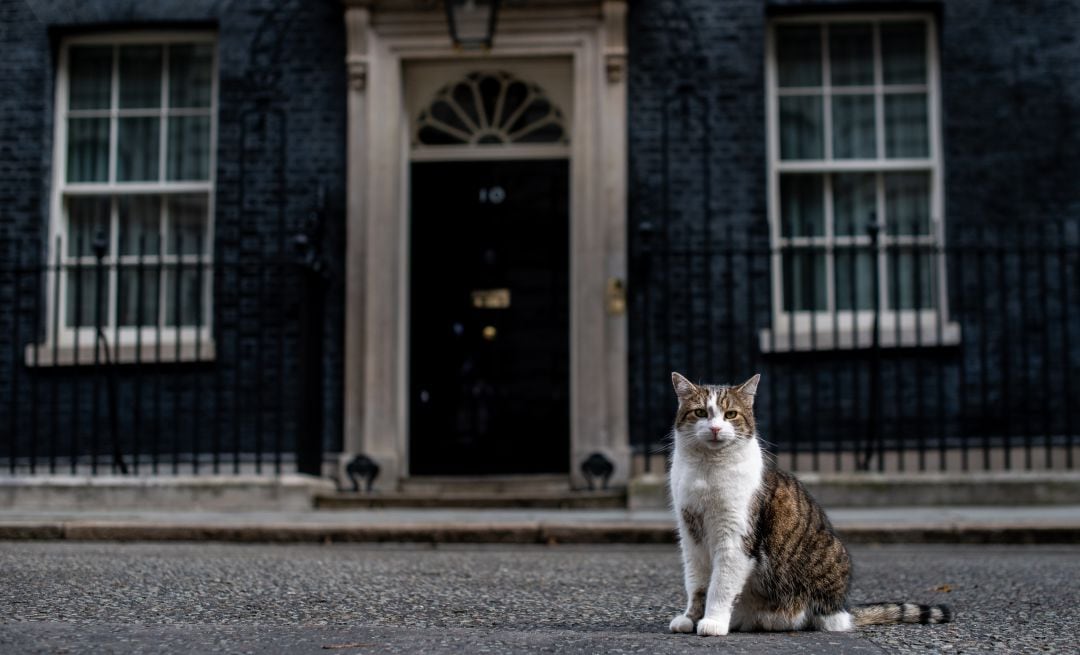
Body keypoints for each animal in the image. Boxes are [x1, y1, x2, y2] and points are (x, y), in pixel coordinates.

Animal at [660, 373, 950, 635]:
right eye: (700, 413)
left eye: (730, 414)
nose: (715, 429)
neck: (707, 470)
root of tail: (844, 609)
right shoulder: (691, 535)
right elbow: (697, 585)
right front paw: (691, 618)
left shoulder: (735, 537)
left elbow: (721, 586)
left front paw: (713, 622)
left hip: (829, 559)